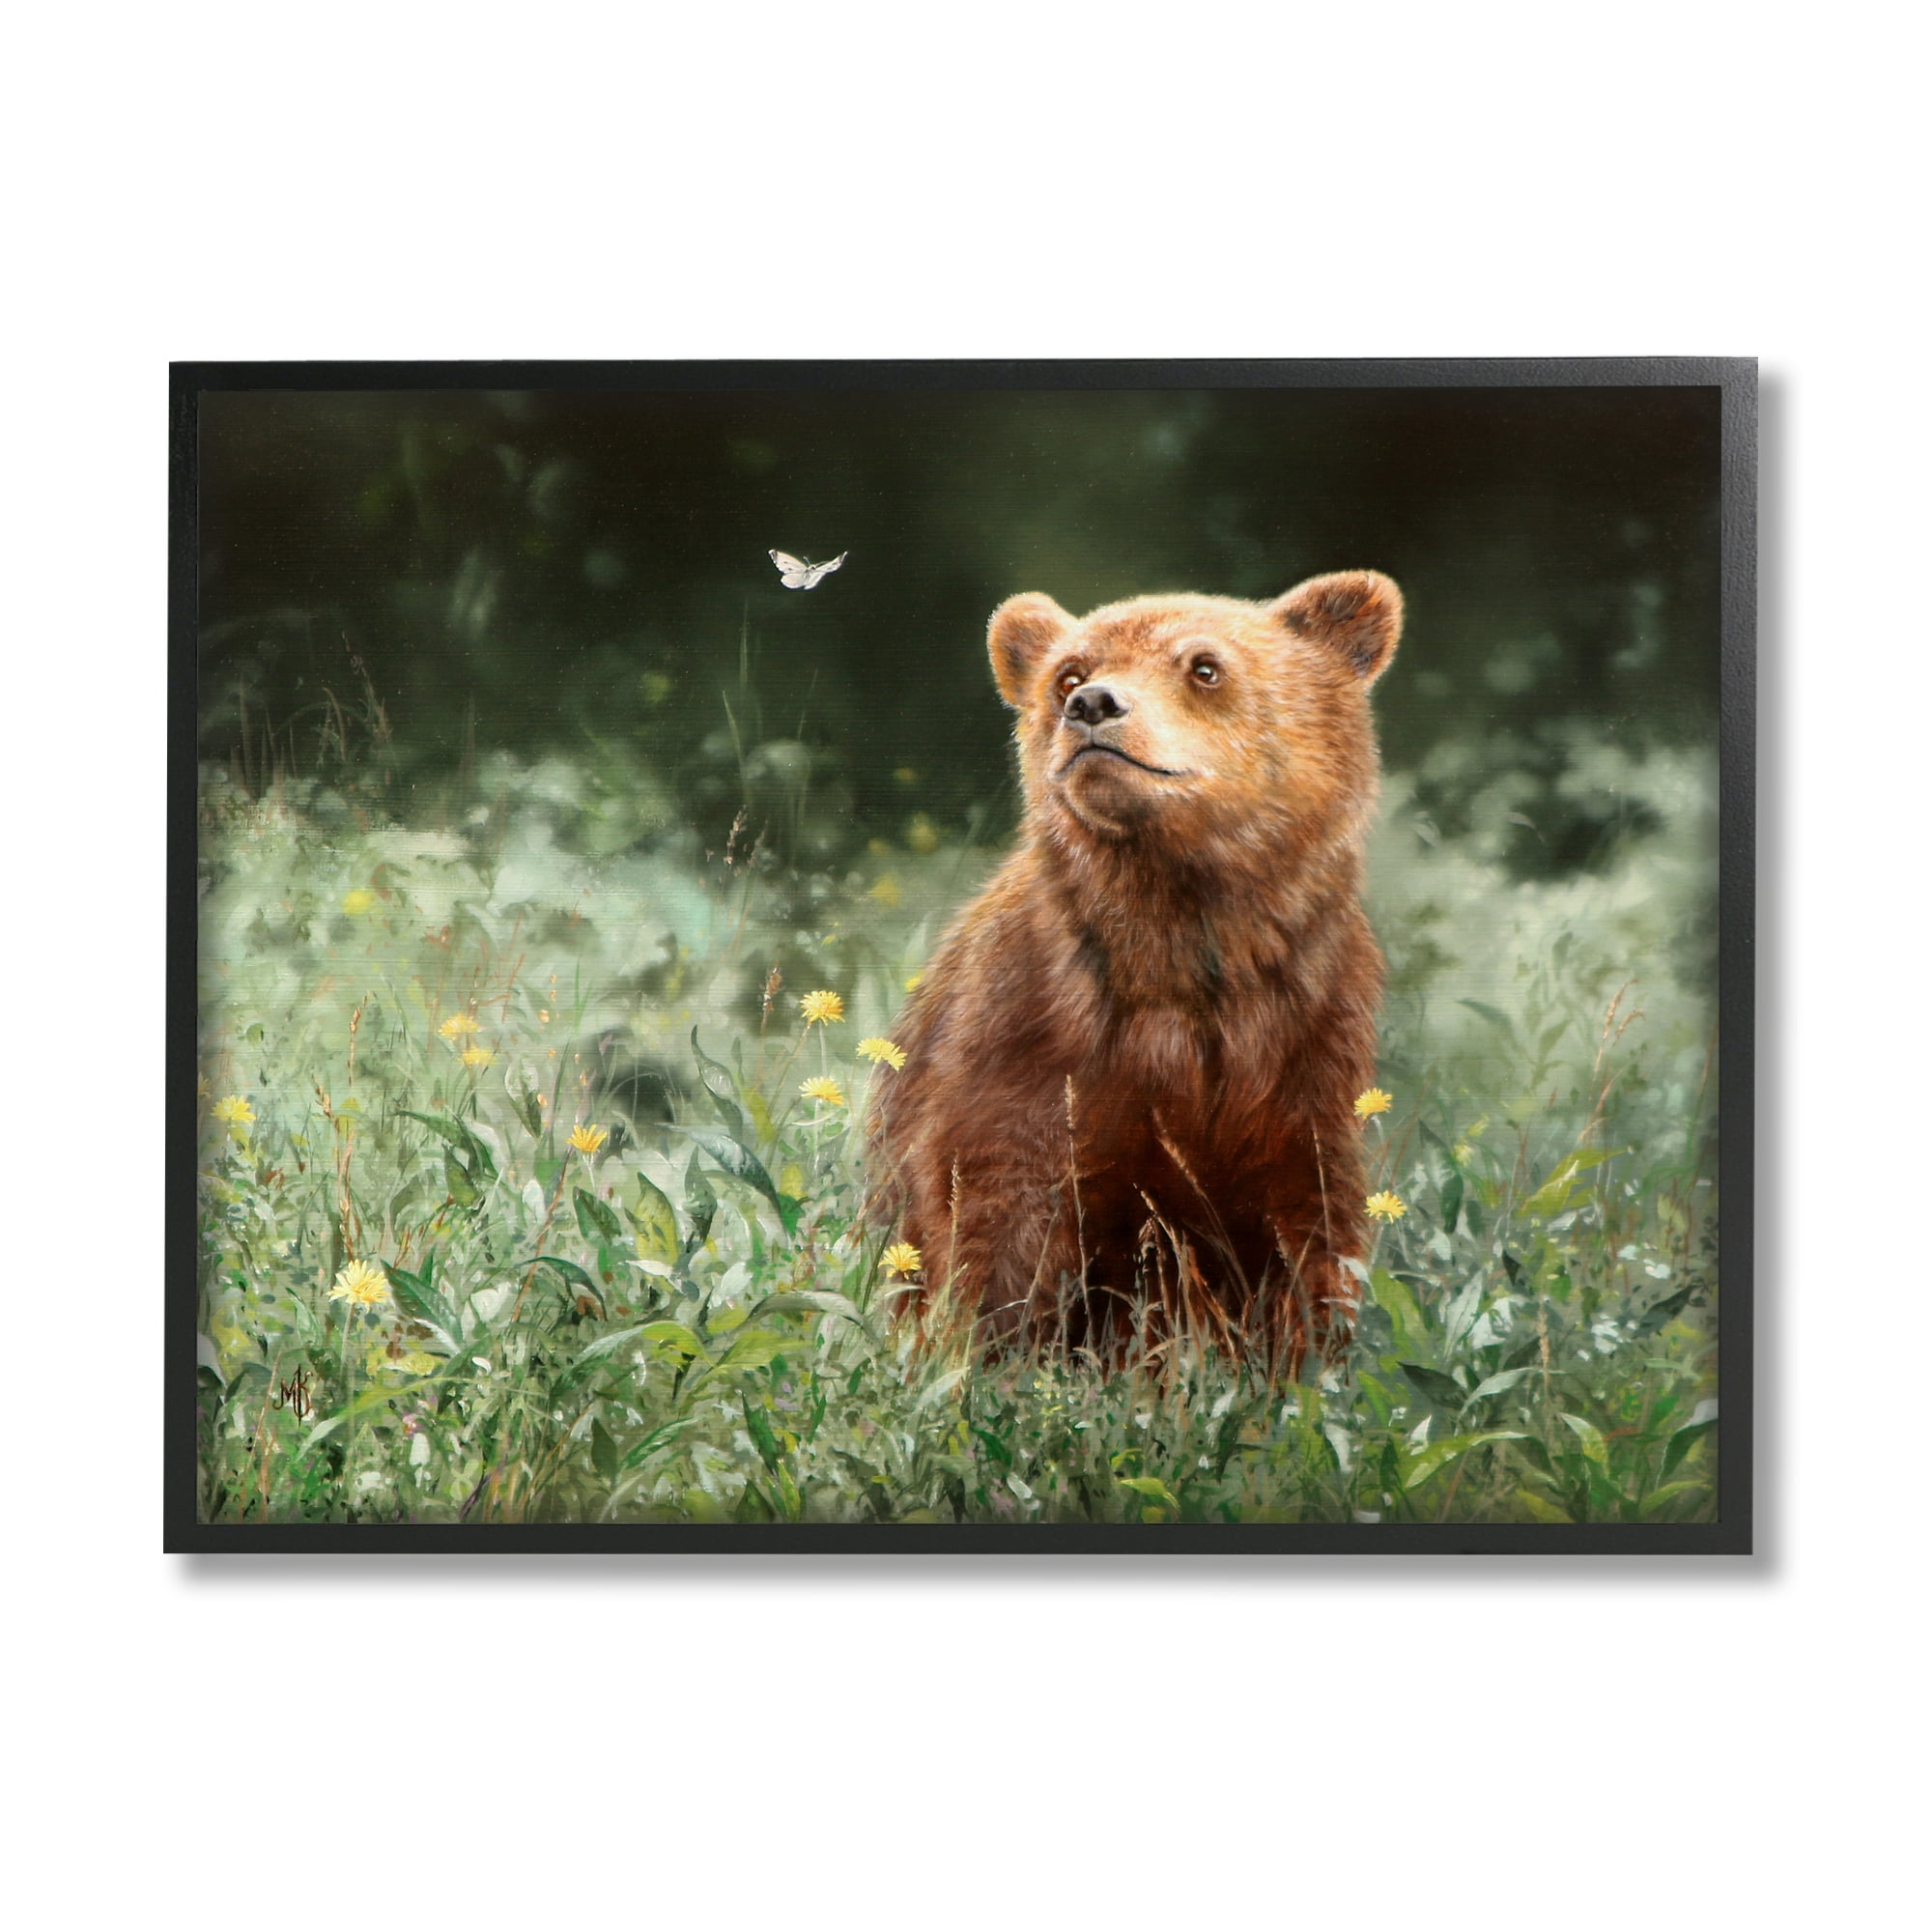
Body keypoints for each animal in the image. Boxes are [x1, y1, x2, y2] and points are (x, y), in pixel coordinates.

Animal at [866, 569, 1402, 1375]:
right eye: (1068, 672)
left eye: (1204, 666)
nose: (1093, 705)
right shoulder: (1028, 1038)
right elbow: (996, 1217)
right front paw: (994, 1357)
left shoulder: (1301, 1042)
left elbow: (1303, 1225)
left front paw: (1296, 1361)